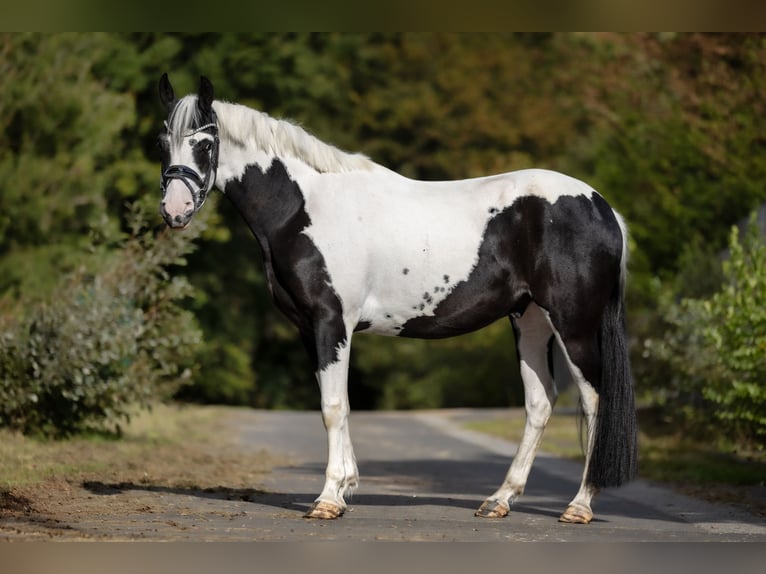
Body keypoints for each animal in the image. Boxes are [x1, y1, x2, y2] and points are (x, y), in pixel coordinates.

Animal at [156, 74, 638, 523]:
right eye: (163, 142)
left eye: (205, 142)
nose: (175, 210)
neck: (304, 207)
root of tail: (602, 207)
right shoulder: (310, 328)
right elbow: (337, 402)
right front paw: (345, 488)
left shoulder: (332, 321)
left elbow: (333, 406)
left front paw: (328, 499)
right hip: (530, 319)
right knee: (540, 403)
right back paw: (499, 500)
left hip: (573, 324)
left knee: (595, 402)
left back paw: (578, 506)